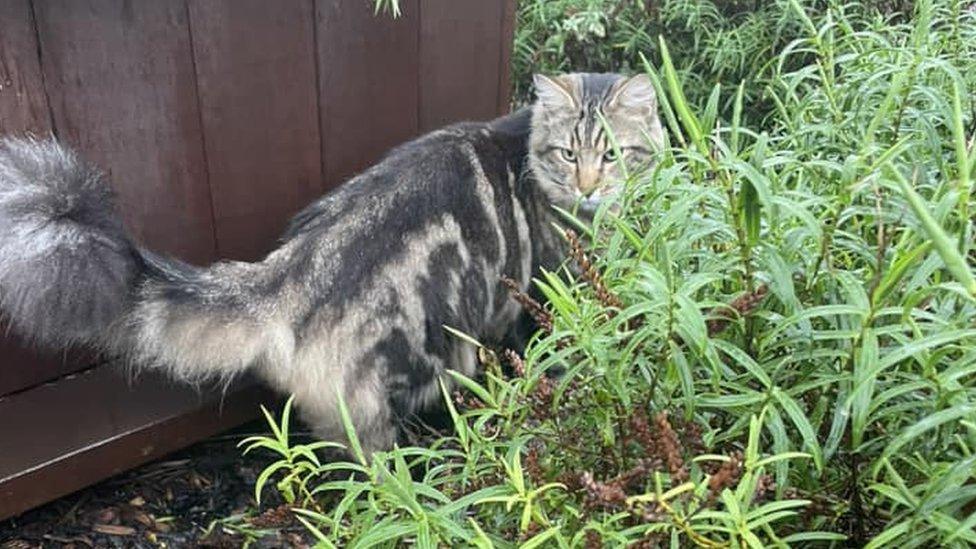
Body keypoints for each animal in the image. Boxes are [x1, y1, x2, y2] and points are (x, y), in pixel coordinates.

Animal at [0, 71, 664, 450]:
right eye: (569, 154)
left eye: (613, 154)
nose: (589, 187)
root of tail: (285, 278)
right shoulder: (543, 293)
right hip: (411, 372)